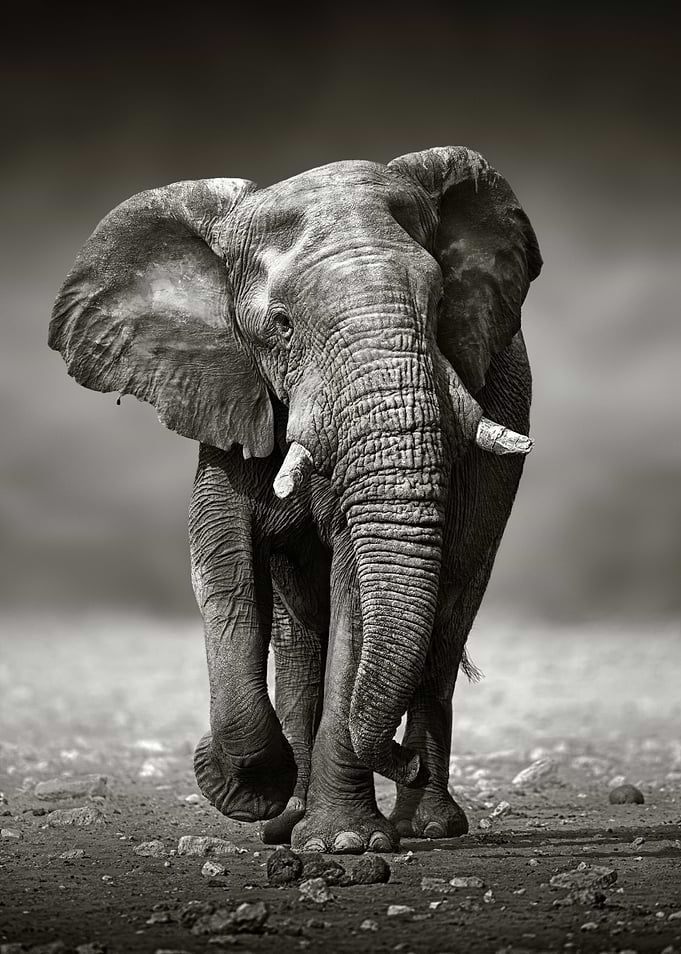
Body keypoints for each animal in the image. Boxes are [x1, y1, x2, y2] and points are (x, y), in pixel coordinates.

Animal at [49, 146, 542, 853]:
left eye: (441, 301)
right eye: (280, 326)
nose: (399, 760)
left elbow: (355, 588)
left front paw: (345, 844)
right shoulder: (228, 392)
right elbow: (222, 564)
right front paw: (252, 790)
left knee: (447, 617)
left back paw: (425, 826)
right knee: (300, 637)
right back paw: (290, 820)